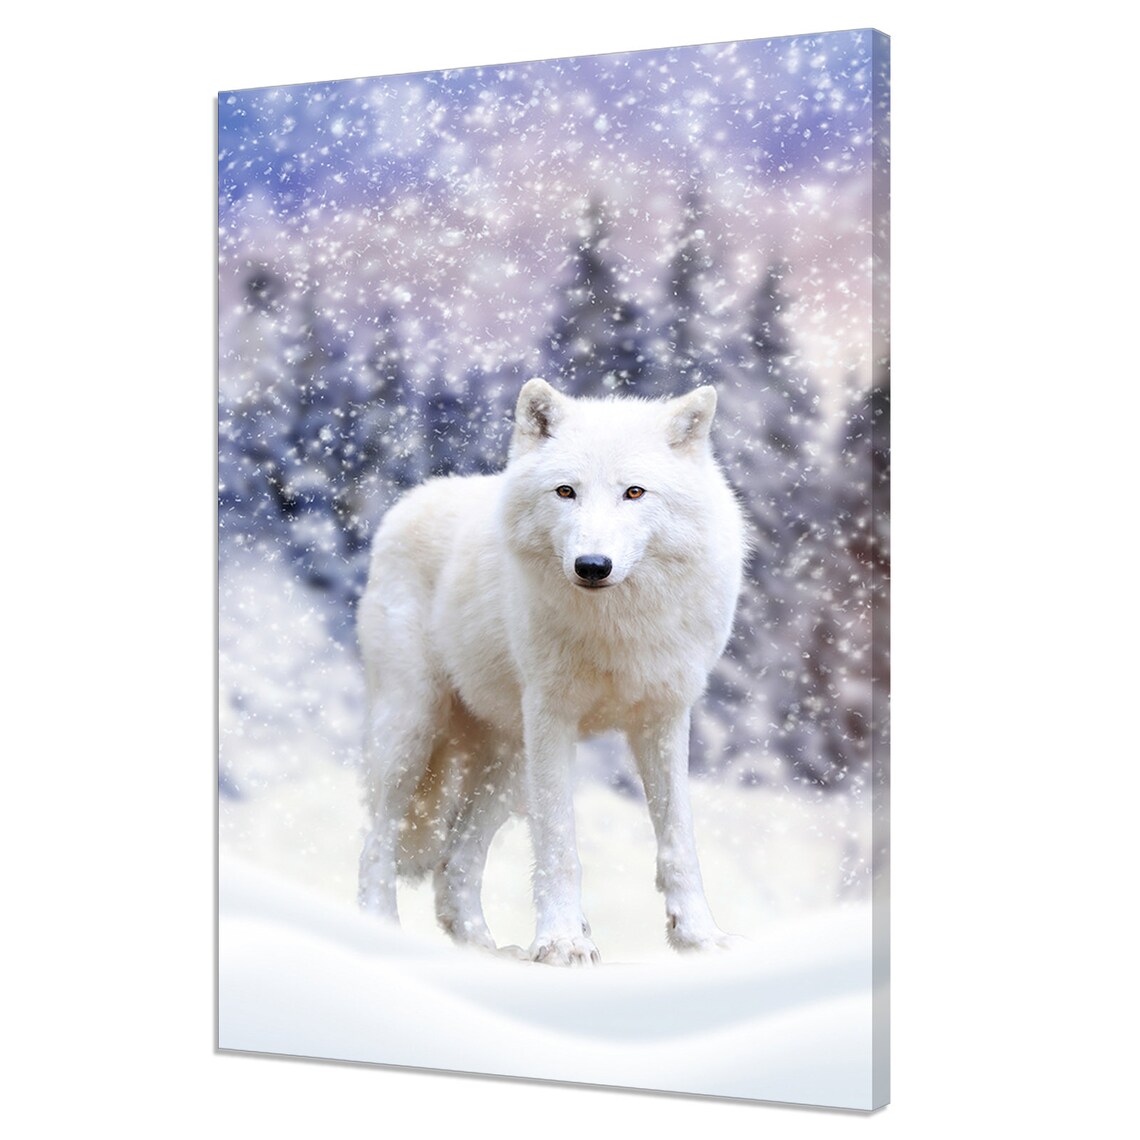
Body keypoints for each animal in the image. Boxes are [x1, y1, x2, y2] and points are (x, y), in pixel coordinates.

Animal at [357, 378, 746, 965]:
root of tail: (409, 500)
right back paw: (384, 931)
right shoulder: (552, 721)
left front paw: (699, 937)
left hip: (507, 764)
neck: (616, 629)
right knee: (376, 840)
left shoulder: (663, 718)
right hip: (412, 732)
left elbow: (678, 840)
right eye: (566, 492)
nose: (592, 566)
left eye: (635, 493)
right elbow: (559, 843)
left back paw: (488, 950)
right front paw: (563, 941)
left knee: (456, 860)